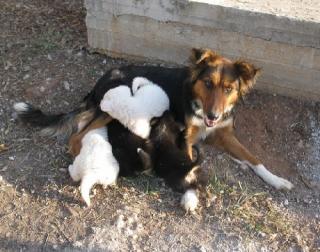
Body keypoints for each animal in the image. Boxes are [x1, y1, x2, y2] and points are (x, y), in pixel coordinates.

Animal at [13, 48, 294, 191]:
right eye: (207, 83)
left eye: (228, 89)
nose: (213, 115)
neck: (199, 102)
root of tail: (99, 82)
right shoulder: (186, 136)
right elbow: (187, 160)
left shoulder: (224, 133)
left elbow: (254, 159)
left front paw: (277, 180)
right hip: (110, 107)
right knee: (76, 137)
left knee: (82, 125)